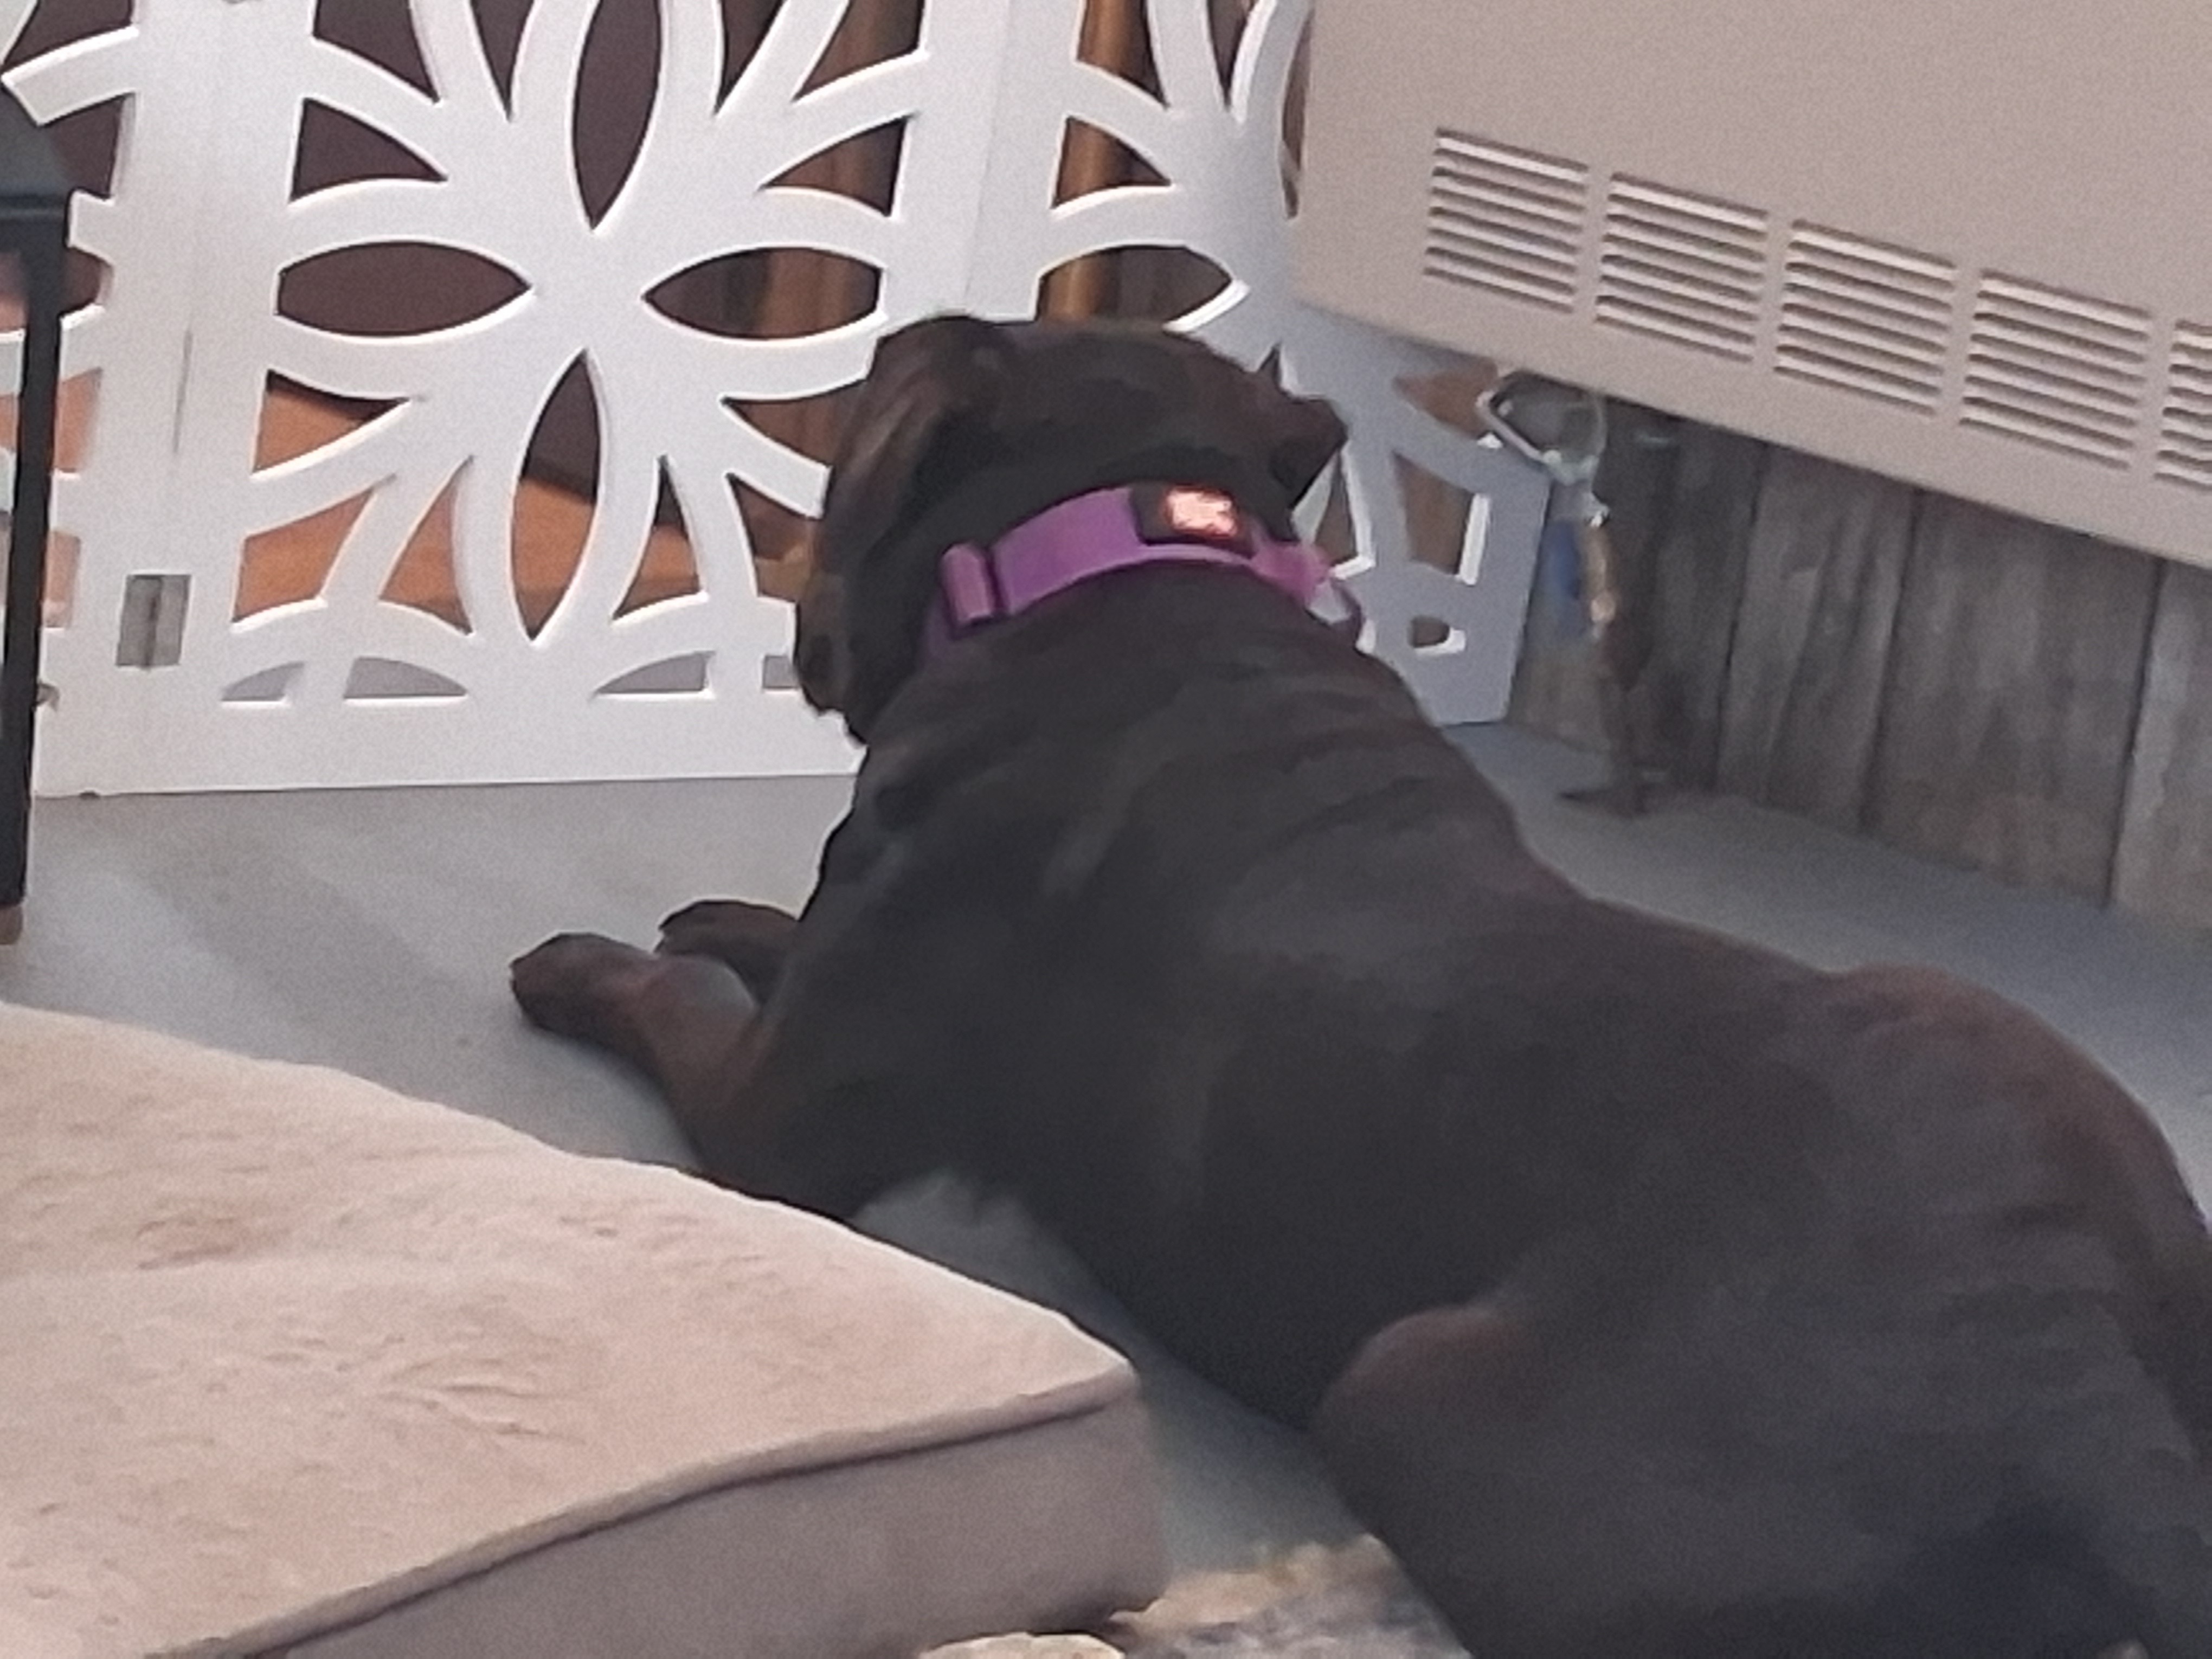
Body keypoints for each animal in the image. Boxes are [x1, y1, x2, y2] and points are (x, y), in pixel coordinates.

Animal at [512, 313, 2212, 1658]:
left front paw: (582, 963)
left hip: (1398, 1390)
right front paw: (724, 914)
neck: (1130, 554)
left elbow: (679, 1014)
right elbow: (769, 935)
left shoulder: (774, 1117)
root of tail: (2048, 1351)